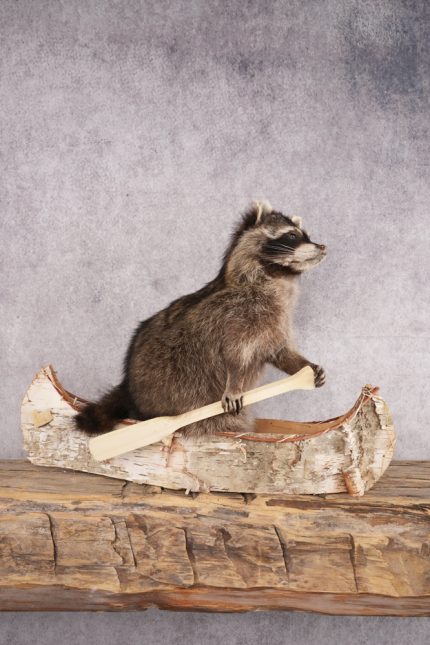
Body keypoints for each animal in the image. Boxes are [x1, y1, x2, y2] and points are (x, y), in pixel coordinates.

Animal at [75, 200, 327, 437]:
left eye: (306, 235)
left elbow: (280, 352)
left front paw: (304, 366)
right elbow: (233, 355)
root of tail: (128, 390)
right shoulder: (235, 316)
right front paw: (234, 381)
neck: (277, 277)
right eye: (292, 235)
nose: (323, 246)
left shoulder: (276, 322)